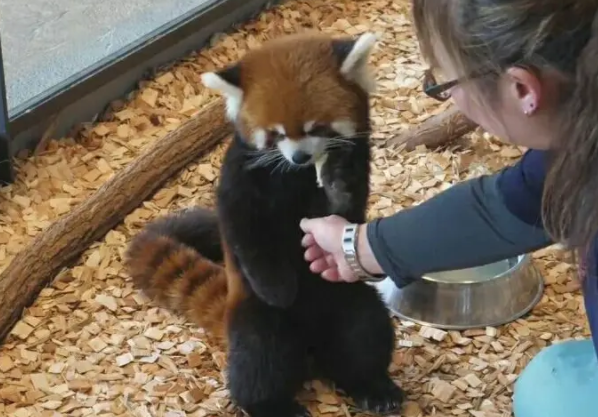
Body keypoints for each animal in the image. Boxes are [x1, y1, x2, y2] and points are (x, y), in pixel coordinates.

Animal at [126, 30, 408, 416]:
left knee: (364, 332)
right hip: (257, 317)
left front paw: (335, 180)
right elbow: (248, 235)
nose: (300, 156)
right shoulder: (240, 179)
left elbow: (344, 211)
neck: (296, 174)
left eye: (316, 128)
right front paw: (279, 288)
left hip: (345, 299)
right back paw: (274, 404)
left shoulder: (358, 161)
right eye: (276, 134)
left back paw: (373, 386)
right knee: (260, 359)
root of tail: (310, 350)